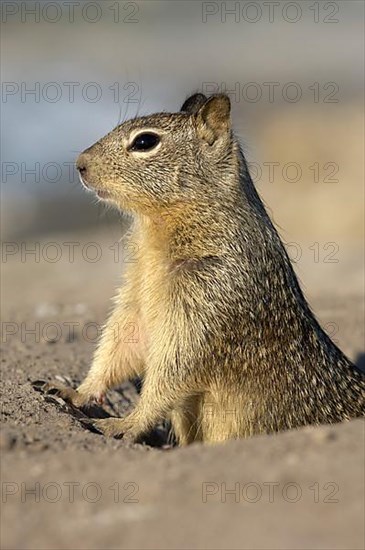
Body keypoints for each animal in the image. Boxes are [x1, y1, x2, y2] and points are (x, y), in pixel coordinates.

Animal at [47, 90, 362, 444]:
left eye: (144, 141)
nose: (80, 164)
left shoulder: (205, 305)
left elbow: (169, 375)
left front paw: (124, 423)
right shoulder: (136, 299)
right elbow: (119, 344)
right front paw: (76, 391)